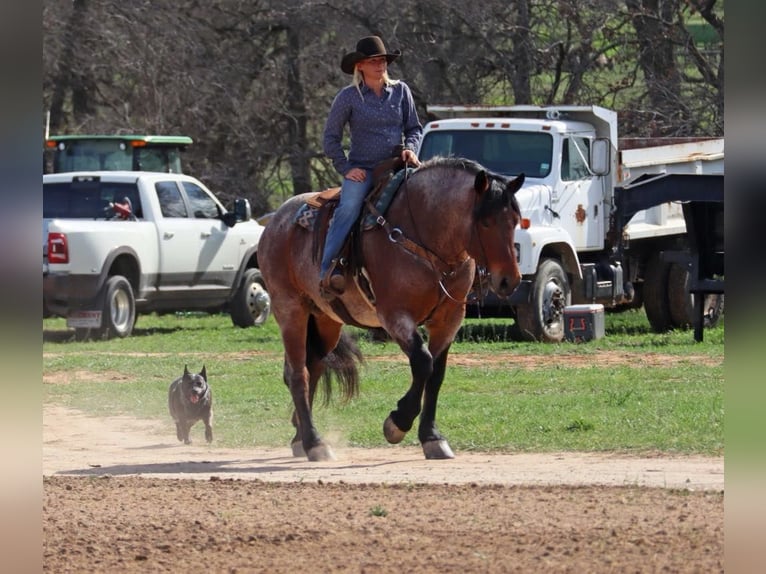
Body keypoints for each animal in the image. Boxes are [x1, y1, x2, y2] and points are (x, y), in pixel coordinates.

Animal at [260, 158, 524, 464]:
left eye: (514, 221)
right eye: (485, 222)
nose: (509, 280)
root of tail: (275, 221)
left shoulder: (449, 320)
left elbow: (436, 375)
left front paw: (432, 438)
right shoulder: (395, 316)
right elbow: (423, 362)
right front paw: (397, 423)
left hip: (325, 320)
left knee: (312, 366)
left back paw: (300, 438)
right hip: (290, 310)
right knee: (297, 374)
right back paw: (315, 443)